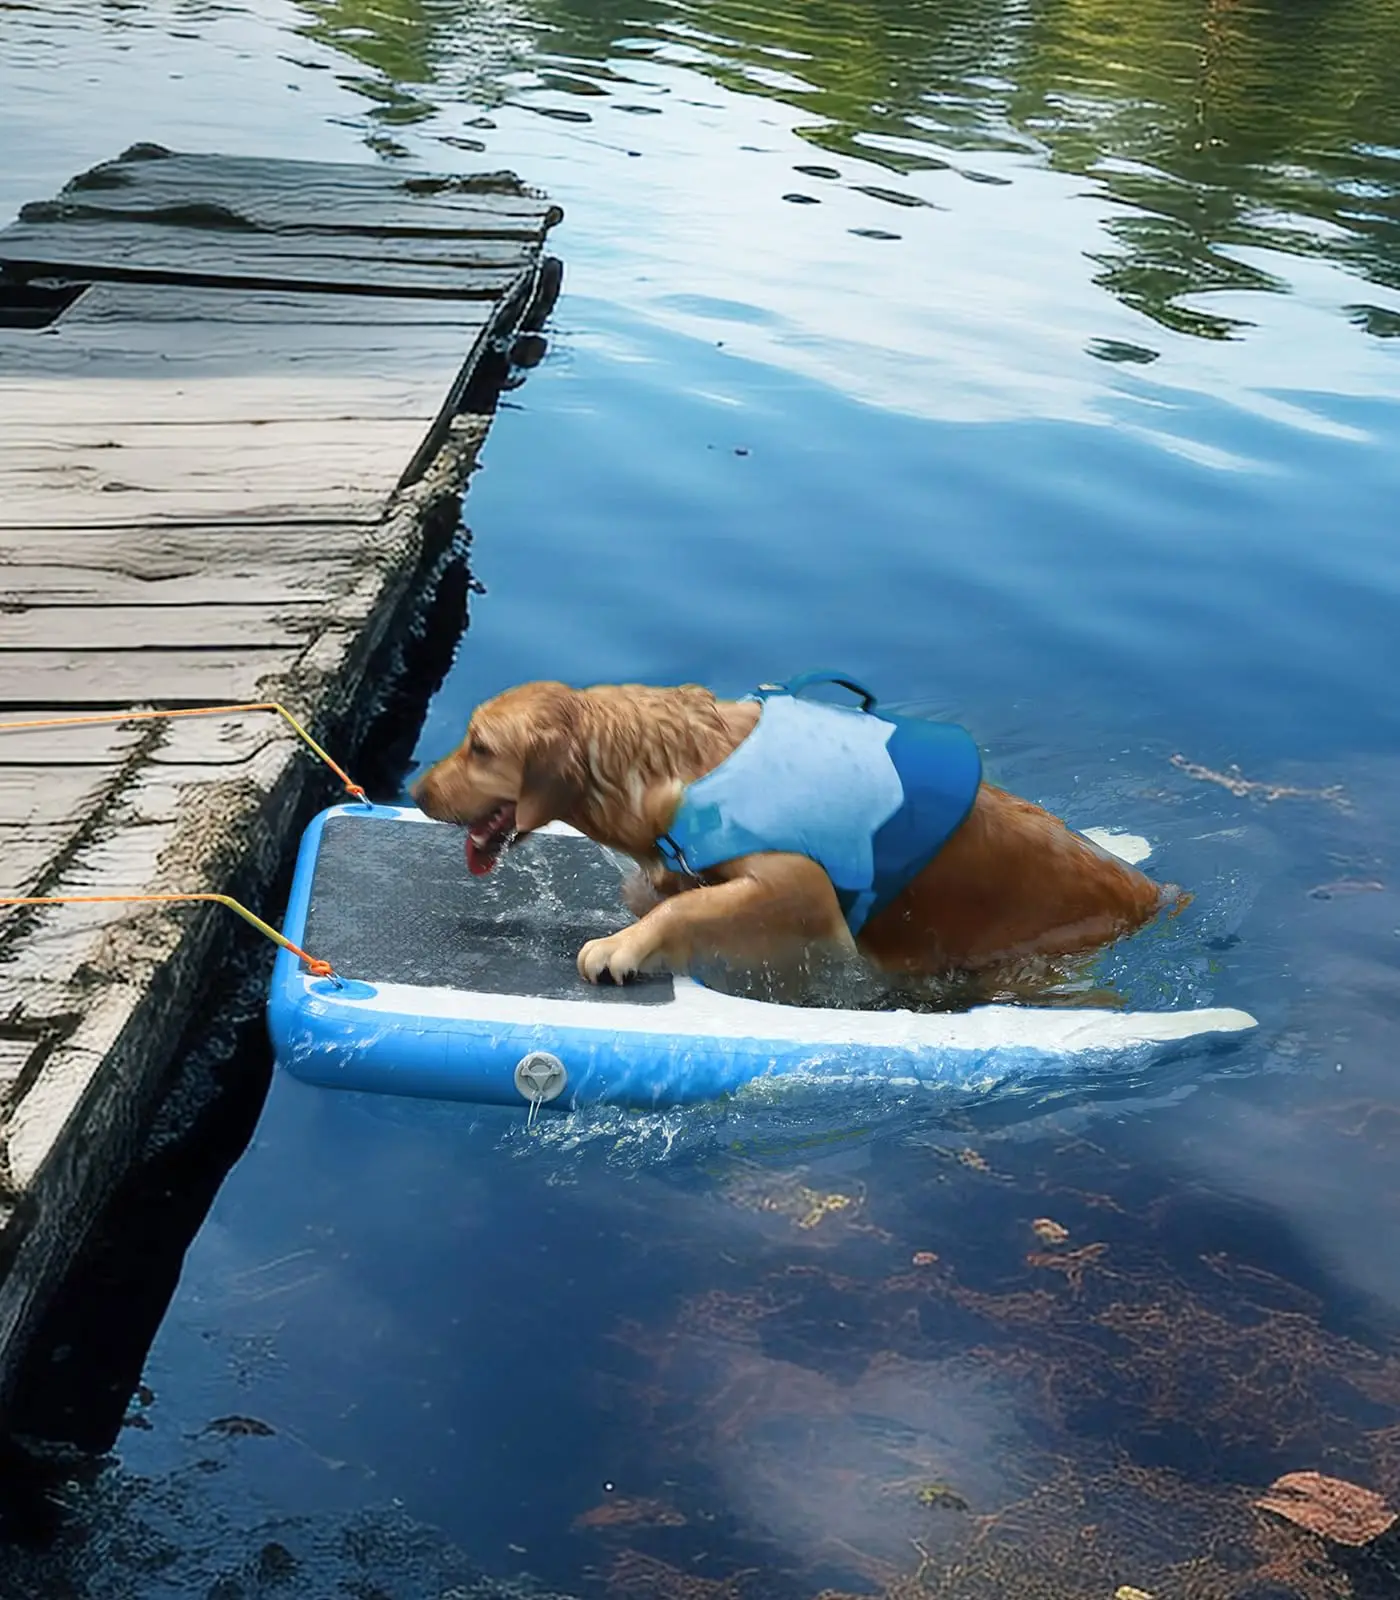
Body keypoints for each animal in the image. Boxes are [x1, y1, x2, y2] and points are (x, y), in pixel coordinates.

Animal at [409, 681, 1177, 992]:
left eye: (480, 745)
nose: (414, 791)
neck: (669, 765)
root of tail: (1156, 894)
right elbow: (671, 891)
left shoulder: (800, 884)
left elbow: (687, 907)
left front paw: (620, 947)